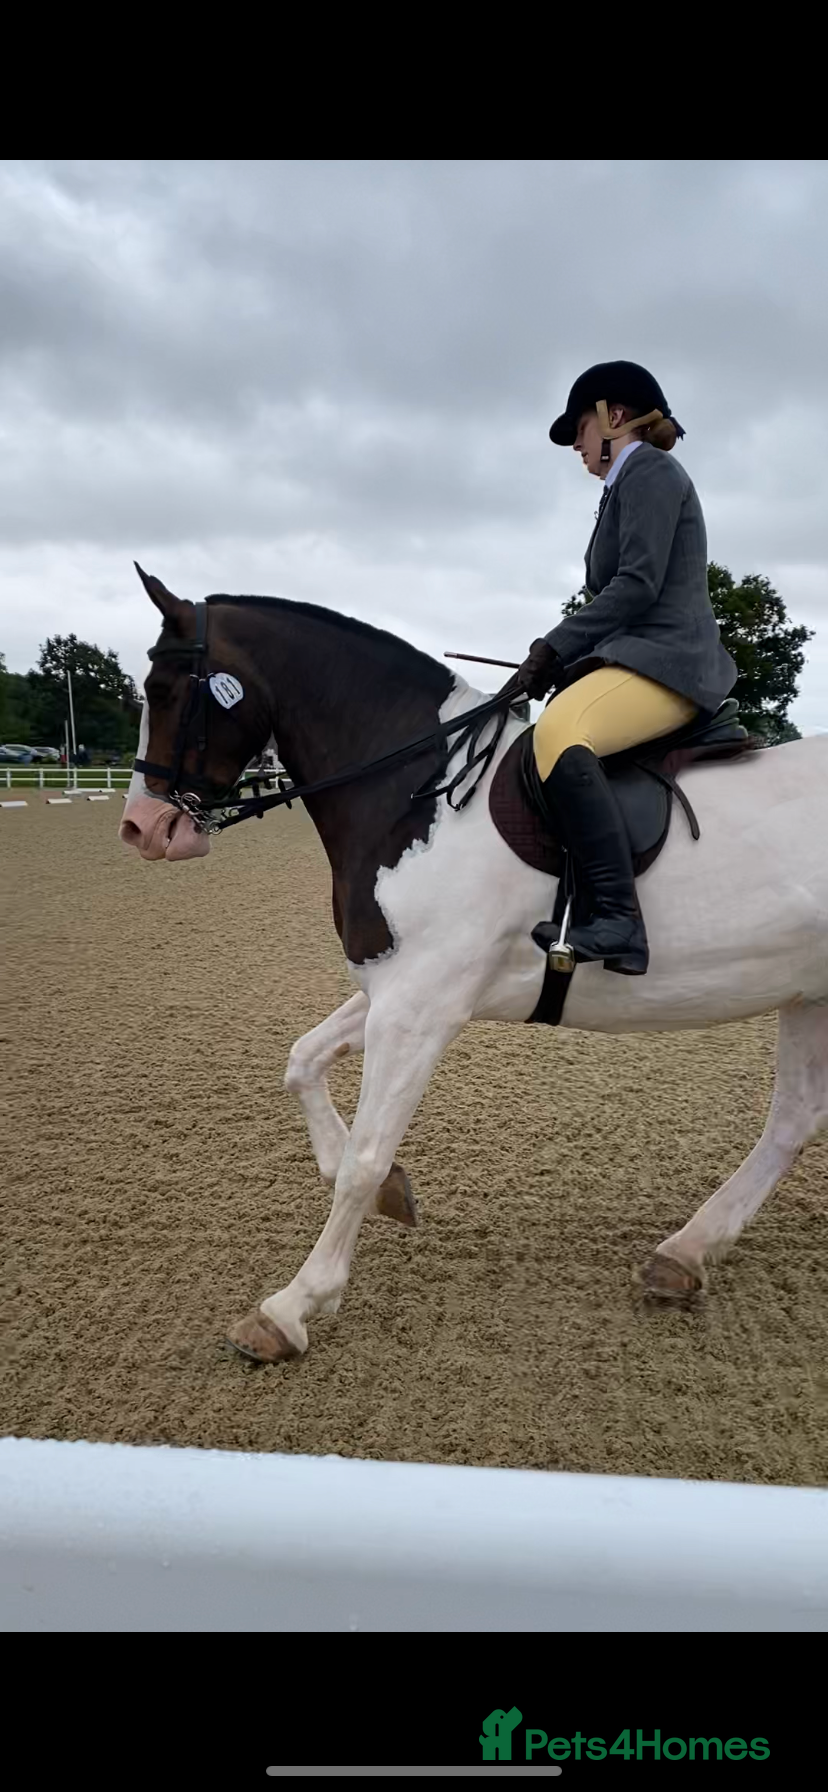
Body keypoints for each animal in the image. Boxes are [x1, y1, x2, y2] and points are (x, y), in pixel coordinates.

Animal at [120, 568, 828, 1363]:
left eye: (167, 688)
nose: (142, 827)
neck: (417, 792)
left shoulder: (419, 1007)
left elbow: (367, 1155)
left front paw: (291, 1307)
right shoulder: (398, 987)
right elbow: (302, 1062)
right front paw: (383, 1192)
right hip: (809, 992)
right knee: (794, 1118)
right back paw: (685, 1253)